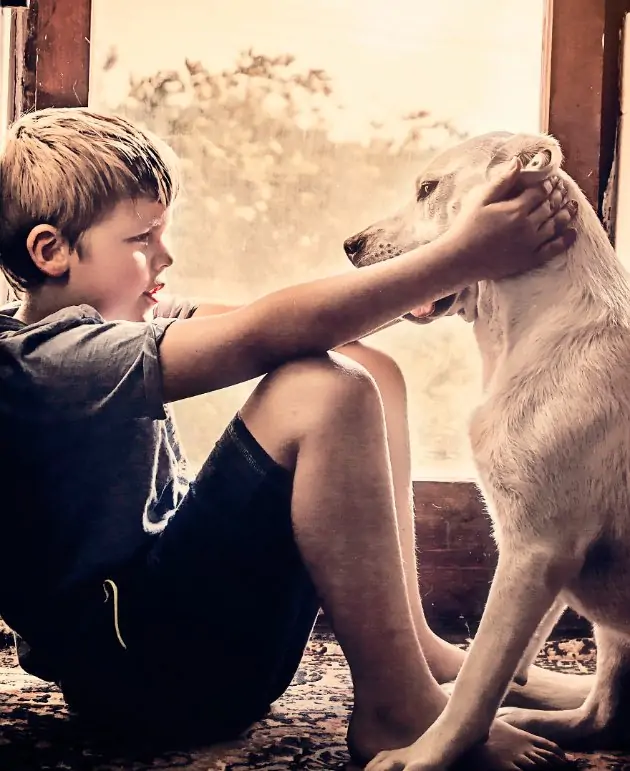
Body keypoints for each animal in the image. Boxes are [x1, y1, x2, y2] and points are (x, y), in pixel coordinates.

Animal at [346, 133, 630, 771]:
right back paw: (534, 711)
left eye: (428, 189)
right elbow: (502, 660)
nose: (349, 245)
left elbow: (481, 678)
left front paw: (421, 756)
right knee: (600, 711)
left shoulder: (534, 553)